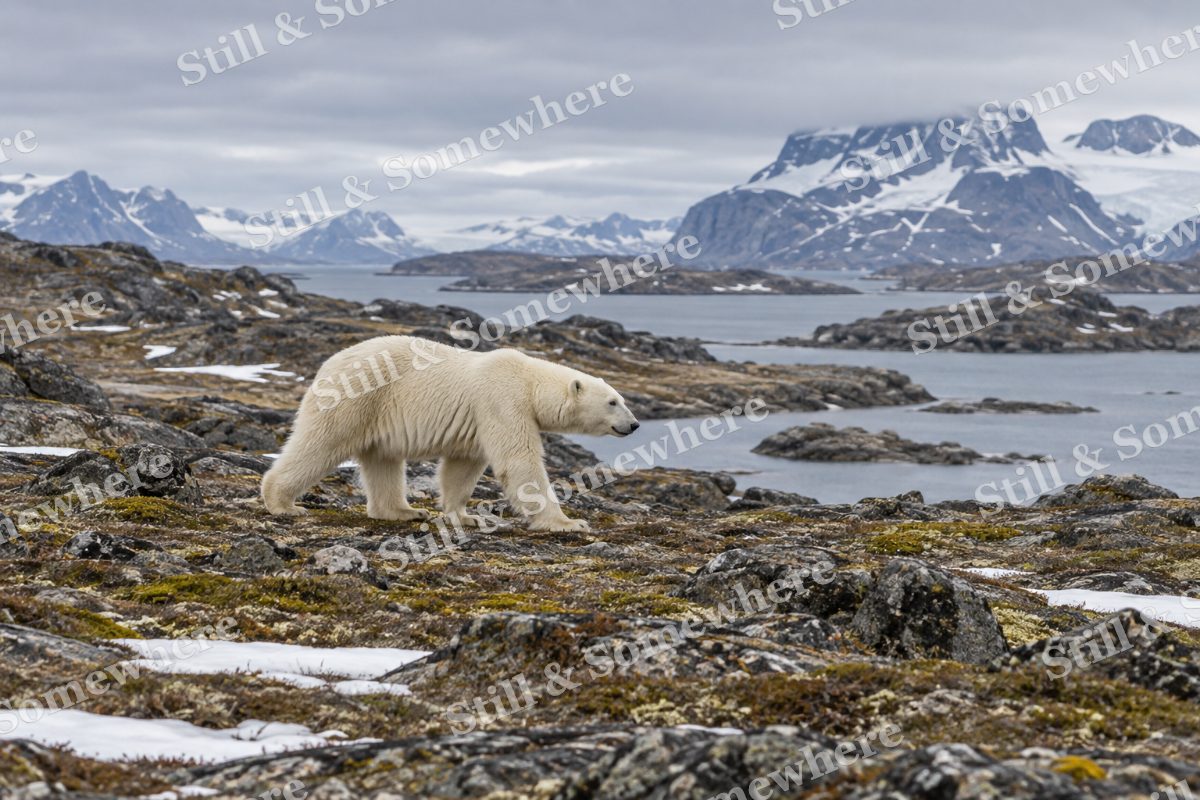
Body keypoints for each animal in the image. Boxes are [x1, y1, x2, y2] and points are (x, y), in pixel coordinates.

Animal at [261, 335, 640, 532]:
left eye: (621, 398)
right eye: (612, 402)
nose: (635, 425)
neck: (529, 381)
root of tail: (326, 365)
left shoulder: (478, 422)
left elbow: (463, 467)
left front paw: (464, 515)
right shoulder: (502, 401)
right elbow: (519, 461)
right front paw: (568, 522)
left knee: (383, 461)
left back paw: (404, 511)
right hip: (356, 397)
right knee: (320, 443)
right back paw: (283, 503)